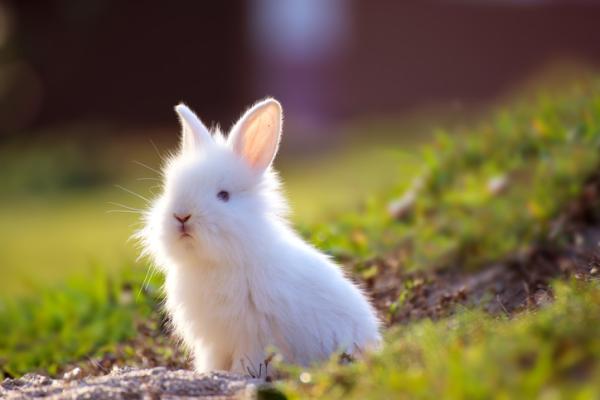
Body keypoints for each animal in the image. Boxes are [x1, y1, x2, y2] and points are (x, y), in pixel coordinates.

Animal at [137, 97, 380, 376]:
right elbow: (213, 361)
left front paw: (239, 376)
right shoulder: (214, 343)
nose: (181, 216)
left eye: (223, 195)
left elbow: (248, 362)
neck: (216, 262)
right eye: (169, 190)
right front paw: (208, 374)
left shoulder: (253, 336)